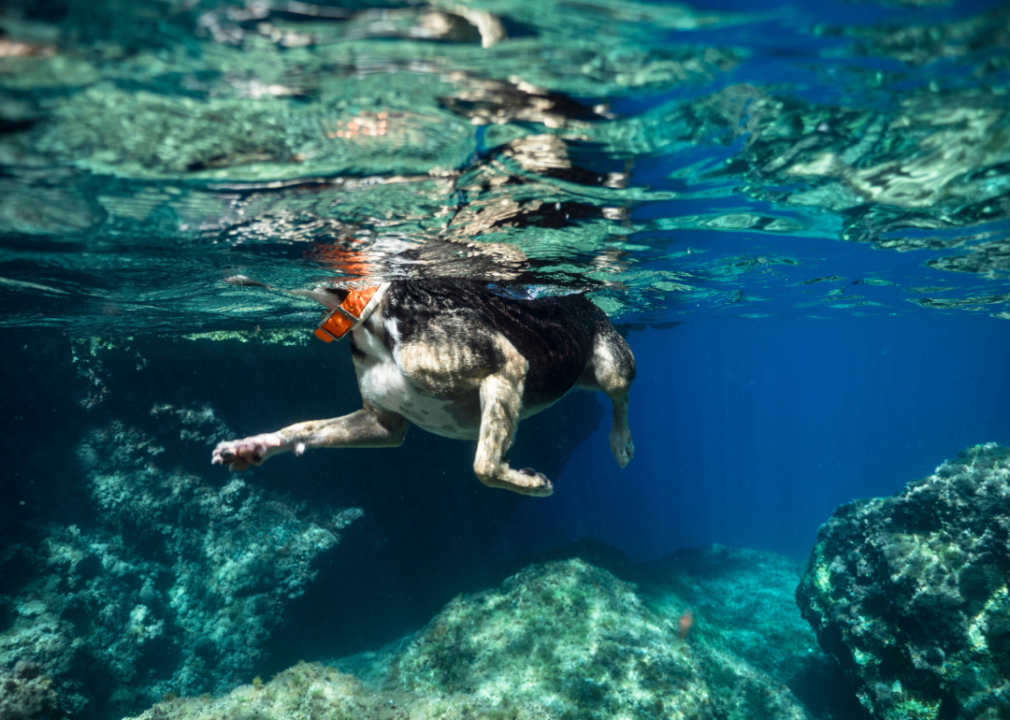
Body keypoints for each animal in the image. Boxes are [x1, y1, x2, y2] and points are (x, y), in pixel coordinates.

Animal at [212, 278, 634, 496]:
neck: (371, 320)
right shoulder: (383, 424)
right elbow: (302, 429)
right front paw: (254, 445)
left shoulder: (506, 366)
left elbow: (484, 465)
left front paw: (530, 483)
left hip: (612, 363)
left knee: (620, 395)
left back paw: (621, 442)